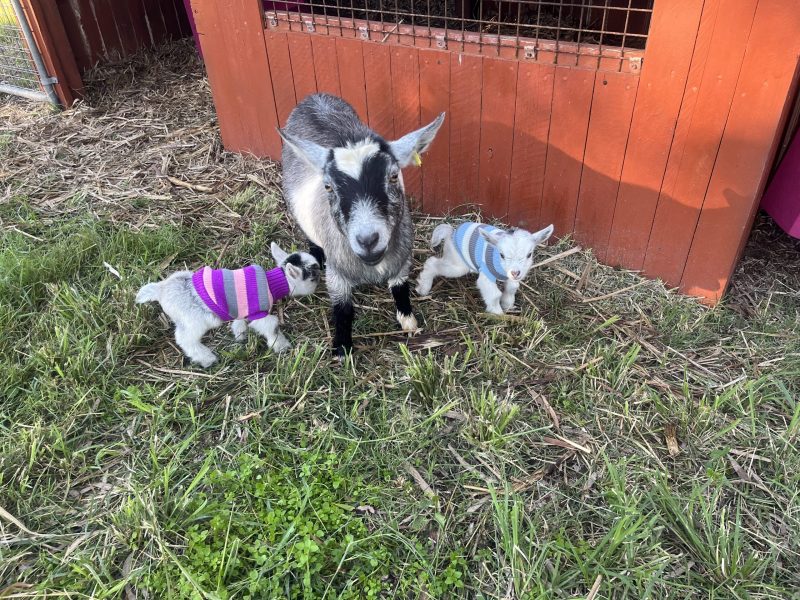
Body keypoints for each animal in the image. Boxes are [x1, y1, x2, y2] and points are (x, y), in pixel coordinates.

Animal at [135, 242, 320, 367]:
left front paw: (240, 335)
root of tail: (161, 290)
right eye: (312, 277)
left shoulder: (242, 309)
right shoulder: (258, 313)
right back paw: (207, 359)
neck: (272, 282)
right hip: (193, 321)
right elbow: (271, 327)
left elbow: (240, 321)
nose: (320, 285)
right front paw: (282, 346)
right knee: (185, 339)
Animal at [278, 93, 445, 357]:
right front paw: (342, 348)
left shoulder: (402, 260)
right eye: (328, 186)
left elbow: (401, 289)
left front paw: (408, 321)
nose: (368, 240)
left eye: (394, 176)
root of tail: (314, 97)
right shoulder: (336, 273)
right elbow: (343, 309)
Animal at [415, 222, 554, 314]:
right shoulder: (486, 275)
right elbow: (494, 295)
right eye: (501, 255)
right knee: (432, 263)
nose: (515, 272)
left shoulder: (511, 277)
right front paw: (498, 315)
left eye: (529, 254)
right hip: (458, 265)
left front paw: (507, 305)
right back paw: (423, 288)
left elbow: (512, 288)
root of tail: (451, 232)